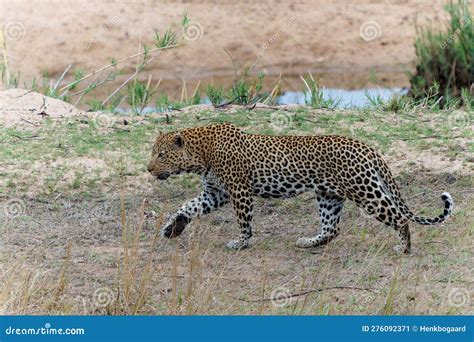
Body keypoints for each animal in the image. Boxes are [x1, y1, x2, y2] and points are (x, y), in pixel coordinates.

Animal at [146, 123, 454, 254]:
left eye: (161, 155)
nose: (148, 169)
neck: (200, 155)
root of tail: (366, 147)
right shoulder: (215, 193)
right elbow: (188, 207)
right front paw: (172, 228)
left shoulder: (239, 191)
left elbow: (244, 222)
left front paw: (241, 243)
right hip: (329, 195)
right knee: (332, 228)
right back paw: (307, 242)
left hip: (364, 190)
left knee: (399, 217)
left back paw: (404, 248)